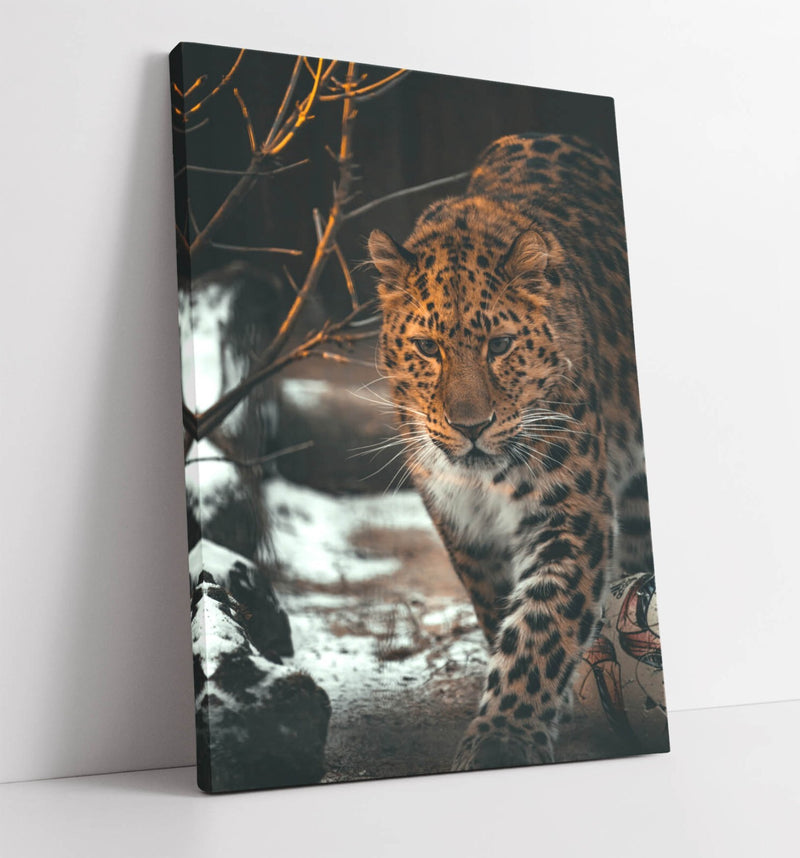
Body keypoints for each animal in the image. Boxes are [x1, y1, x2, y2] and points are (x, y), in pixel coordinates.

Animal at [368, 132, 655, 771]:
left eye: (500, 345)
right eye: (427, 348)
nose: (470, 426)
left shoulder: (570, 514)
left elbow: (541, 626)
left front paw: (504, 738)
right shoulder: (462, 525)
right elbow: (501, 609)